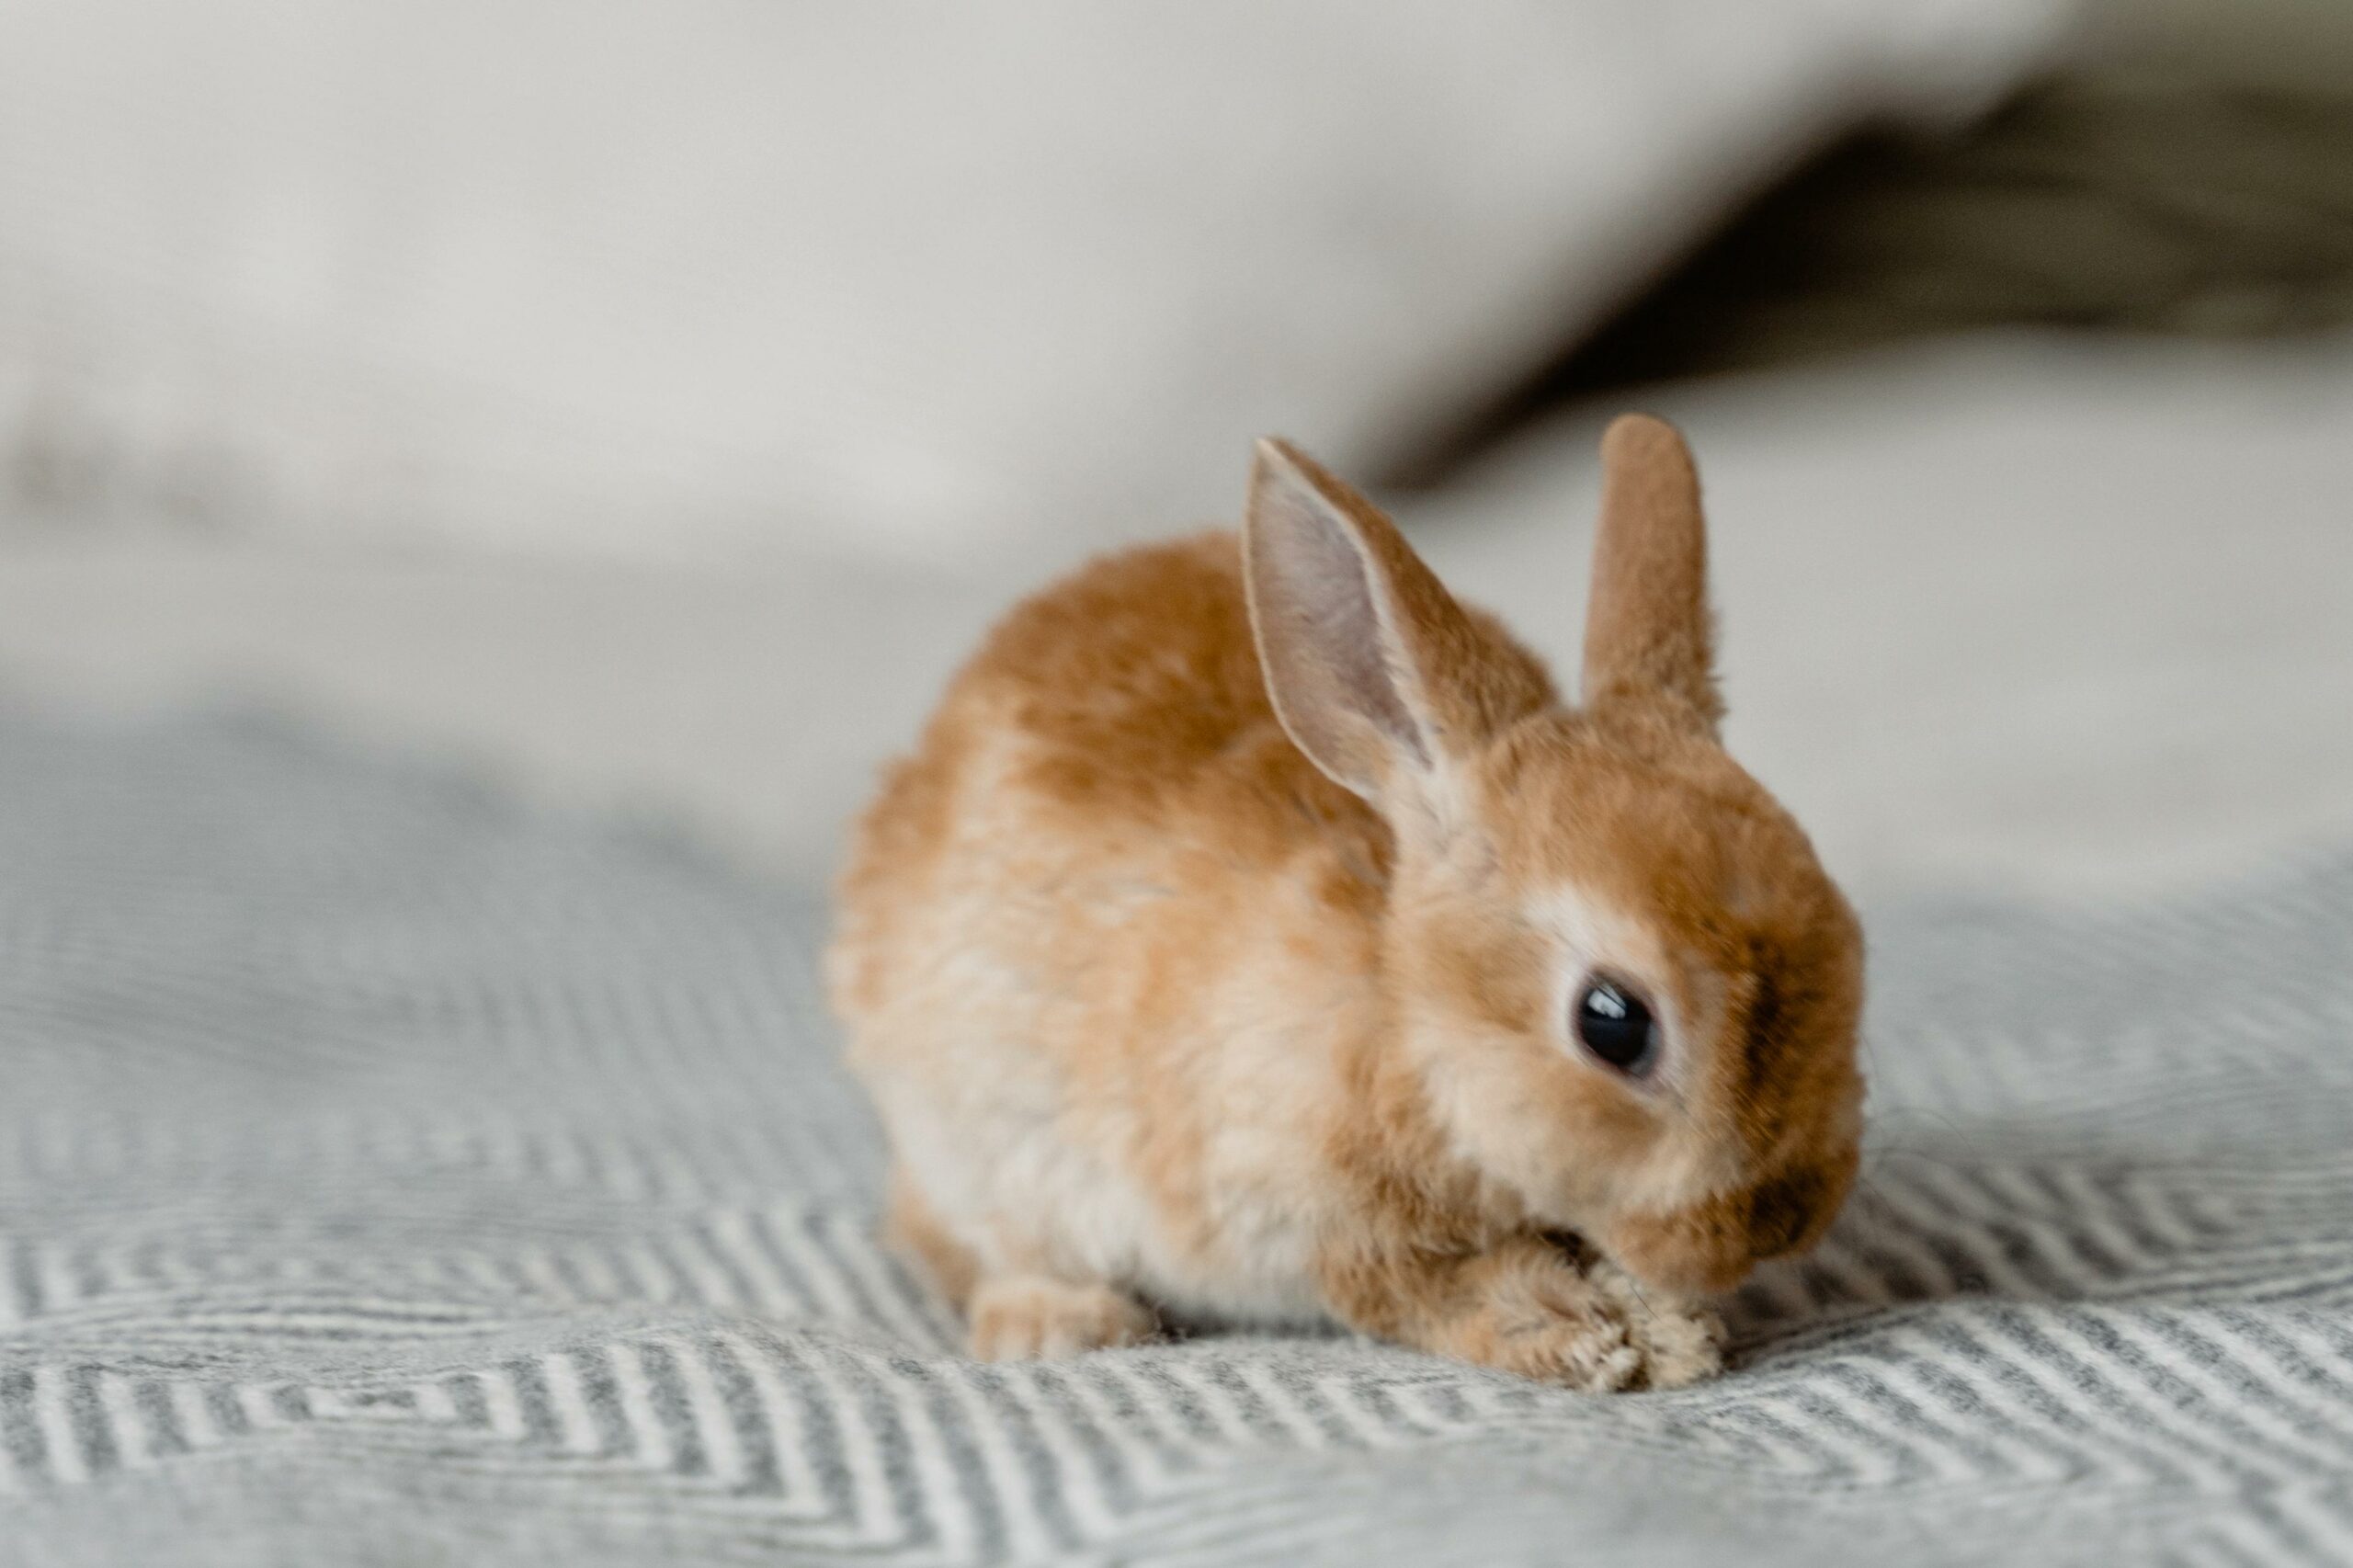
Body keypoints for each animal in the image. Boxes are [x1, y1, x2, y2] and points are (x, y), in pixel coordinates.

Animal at [837, 412, 1863, 1384]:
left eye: (1850, 940)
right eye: (1612, 1022)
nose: (1773, 1226)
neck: (1406, 1015)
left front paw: (1667, 1327)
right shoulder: (1318, 1226)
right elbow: (1427, 1292)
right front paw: (1599, 1336)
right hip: (970, 1142)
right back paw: (1066, 1324)